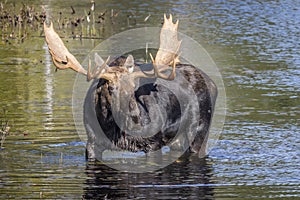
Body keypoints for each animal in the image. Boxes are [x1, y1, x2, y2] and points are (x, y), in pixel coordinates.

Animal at [43, 14, 217, 160]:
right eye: (111, 88)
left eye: (135, 87)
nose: (135, 115)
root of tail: (212, 83)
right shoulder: (91, 143)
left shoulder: (153, 144)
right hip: (177, 140)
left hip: (199, 130)